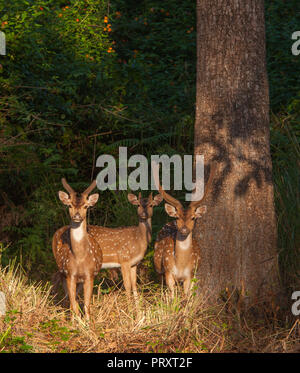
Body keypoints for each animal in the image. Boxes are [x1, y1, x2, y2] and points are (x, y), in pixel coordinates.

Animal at [51, 177, 102, 320]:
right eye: (70, 205)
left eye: (86, 206)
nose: (77, 216)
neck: (80, 257)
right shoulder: (70, 274)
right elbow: (74, 304)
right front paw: (76, 322)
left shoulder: (90, 275)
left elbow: (86, 305)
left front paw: (88, 323)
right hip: (61, 269)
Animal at [154, 161, 214, 294]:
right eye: (177, 217)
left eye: (193, 218)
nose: (184, 229)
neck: (181, 265)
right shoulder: (168, 271)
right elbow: (172, 295)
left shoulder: (190, 274)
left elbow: (186, 296)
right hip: (158, 267)